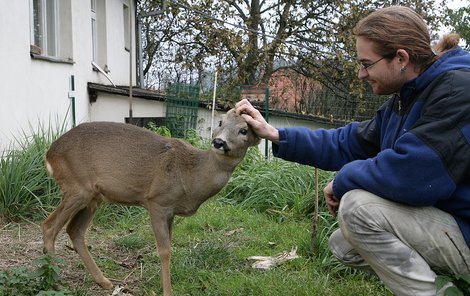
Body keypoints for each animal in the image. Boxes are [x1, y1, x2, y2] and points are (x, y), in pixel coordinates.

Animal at [40, 109, 260, 296]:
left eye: (244, 130)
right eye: (221, 122)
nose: (219, 142)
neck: (190, 175)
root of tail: (49, 154)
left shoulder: (171, 211)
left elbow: (169, 247)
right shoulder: (157, 202)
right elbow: (164, 251)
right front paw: (168, 292)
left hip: (93, 196)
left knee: (74, 230)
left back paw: (104, 282)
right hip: (76, 187)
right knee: (49, 225)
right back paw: (56, 284)